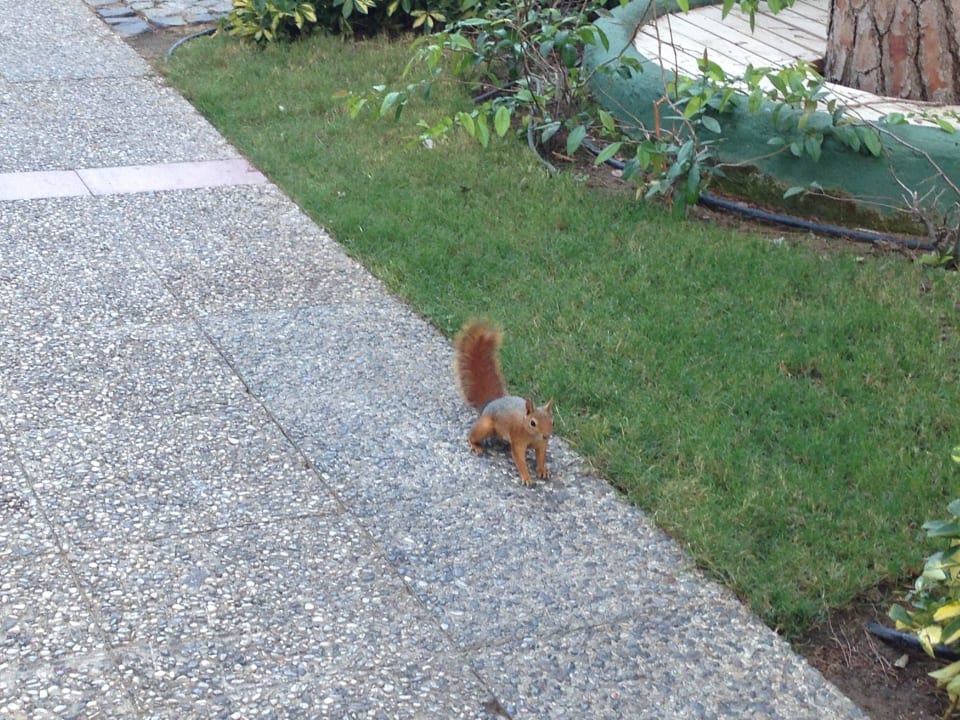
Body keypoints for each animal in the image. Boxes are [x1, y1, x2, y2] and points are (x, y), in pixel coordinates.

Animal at [453, 319, 554, 487]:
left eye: (553, 422)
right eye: (533, 423)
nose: (546, 435)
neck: (532, 436)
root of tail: (491, 403)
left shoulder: (541, 444)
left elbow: (541, 456)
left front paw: (542, 470)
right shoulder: (518, 440)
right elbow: (519, 459)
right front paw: (526, 477)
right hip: (486, 426)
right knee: (472, 435)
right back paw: (475, 445)